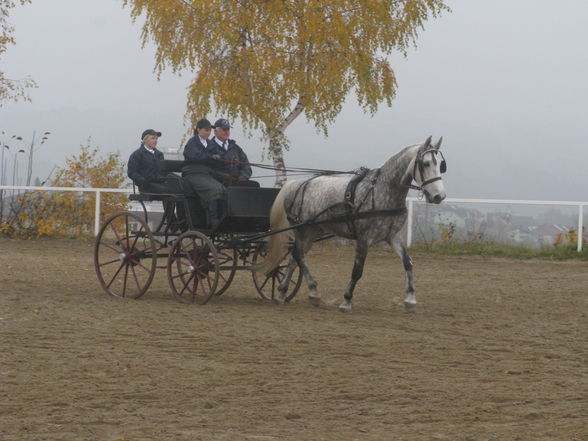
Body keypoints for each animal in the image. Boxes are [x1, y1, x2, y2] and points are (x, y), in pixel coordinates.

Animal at [258, 136, 446, 312]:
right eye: (426, 163)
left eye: (441, 165)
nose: (439, 196)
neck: (382, 190)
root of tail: (296, 184)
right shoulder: (364, 238)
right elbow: (357, 270)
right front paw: (346, 301)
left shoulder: (392, 236)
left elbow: (408, 263)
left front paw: (410, 299)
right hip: (302, 229)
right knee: (298, 255)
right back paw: (313, 291)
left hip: (312, 232)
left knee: (296, 257)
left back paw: (282, 292)